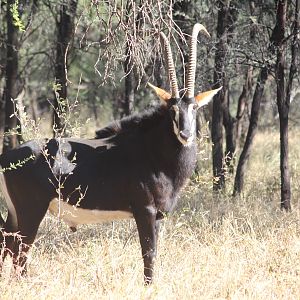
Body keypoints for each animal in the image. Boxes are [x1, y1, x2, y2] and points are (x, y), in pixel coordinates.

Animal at [0, 24, 220, 284]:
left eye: (195, 107)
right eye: (172, 110)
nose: (186, 134)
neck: (154, 152)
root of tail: (6, 158)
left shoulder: (157, 216)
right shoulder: (145, 211)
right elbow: (149, 254)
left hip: (15, 212)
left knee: (7, 242)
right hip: (31, 210)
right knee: (20, 252)